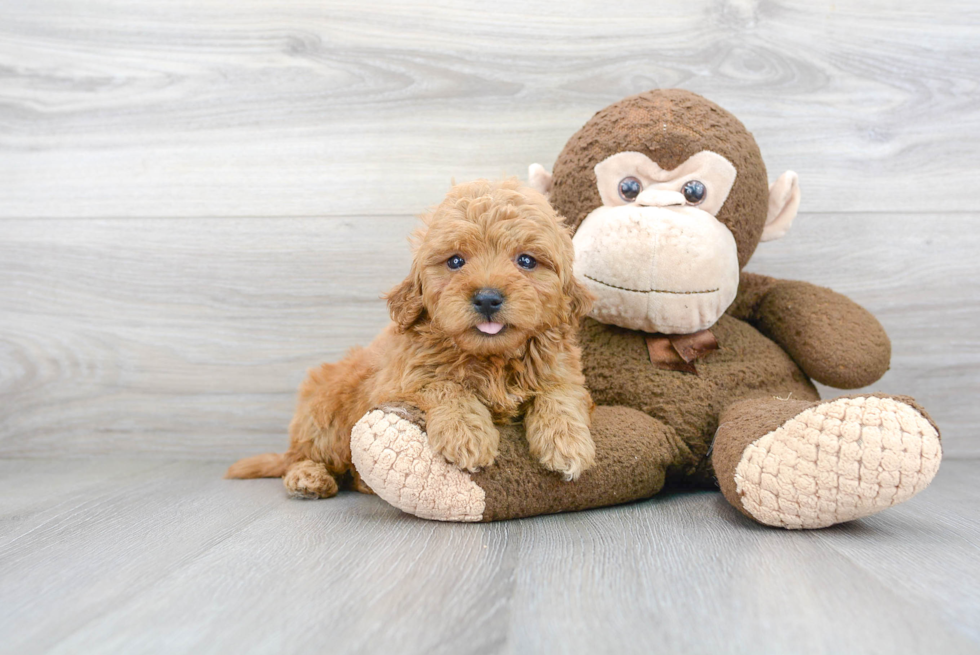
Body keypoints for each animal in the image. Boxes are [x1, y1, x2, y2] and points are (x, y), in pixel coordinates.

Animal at [228, 179, 596, 498]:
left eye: (526, 260)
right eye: (455, 261)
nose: (488, 298)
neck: (491, 358)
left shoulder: (562, 370)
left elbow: (559, 394)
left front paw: (566, 442)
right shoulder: (396, 382)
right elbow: (444, 384)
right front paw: (466, 433)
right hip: (327, 412)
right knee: (306, 456)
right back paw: (308, 477)